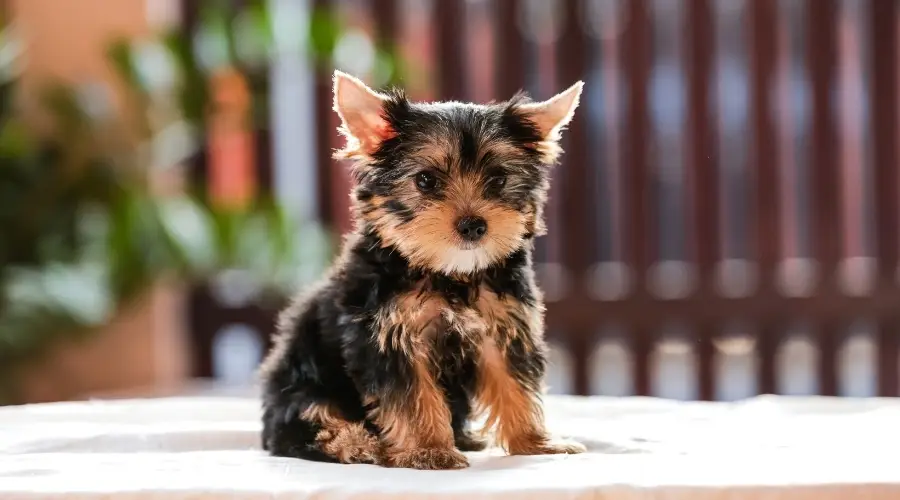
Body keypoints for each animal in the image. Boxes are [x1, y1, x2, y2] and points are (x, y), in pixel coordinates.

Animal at [256, 70, 588, 468]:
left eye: (498, 179)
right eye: (426, 181)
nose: (473, 225)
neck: (449, 273)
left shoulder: (503, 326)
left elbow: (514, 382)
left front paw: (536, 442)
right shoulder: (389, 335)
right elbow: (413, 397)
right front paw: (429, 450)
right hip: (301, 385)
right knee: (307, 418)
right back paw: (356, 443)